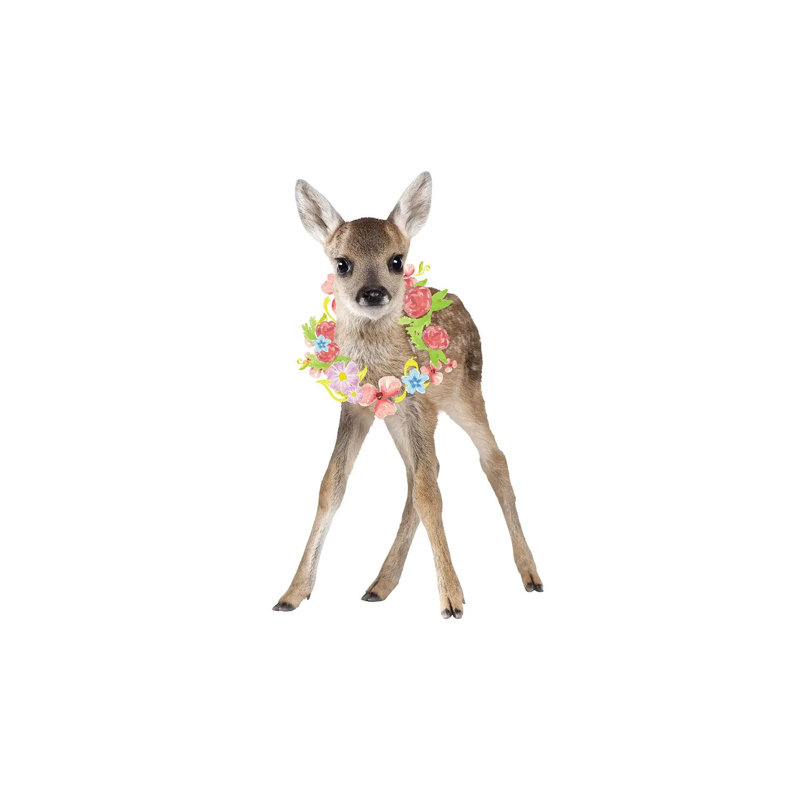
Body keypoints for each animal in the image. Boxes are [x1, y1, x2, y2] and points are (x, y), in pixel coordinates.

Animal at [273, 172, 543, 619]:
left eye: (396, 260)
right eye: (341, 263)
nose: (373, 293)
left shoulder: (419, 405)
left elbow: (429, 493)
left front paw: (451, 600)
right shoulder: (358, 408)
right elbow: (332, 485)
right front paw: (292, 593)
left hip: (465, 394)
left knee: (491, 460)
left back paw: (530, 574)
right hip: (404, 417)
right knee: (421, 473)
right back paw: (380, 585)